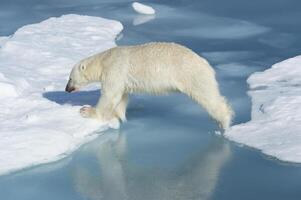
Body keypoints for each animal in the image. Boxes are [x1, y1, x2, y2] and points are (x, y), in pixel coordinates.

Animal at [65, 42, 233, 130]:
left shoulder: (115, 68)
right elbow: (121, 96)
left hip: (192, 74)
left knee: (207, 96)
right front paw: (120, 116)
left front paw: (86, 111)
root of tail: (205, 63)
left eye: (70, 78)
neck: (104, 59)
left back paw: (224, 122)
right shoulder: (121, 78)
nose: (66, 89)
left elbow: (109, 95)